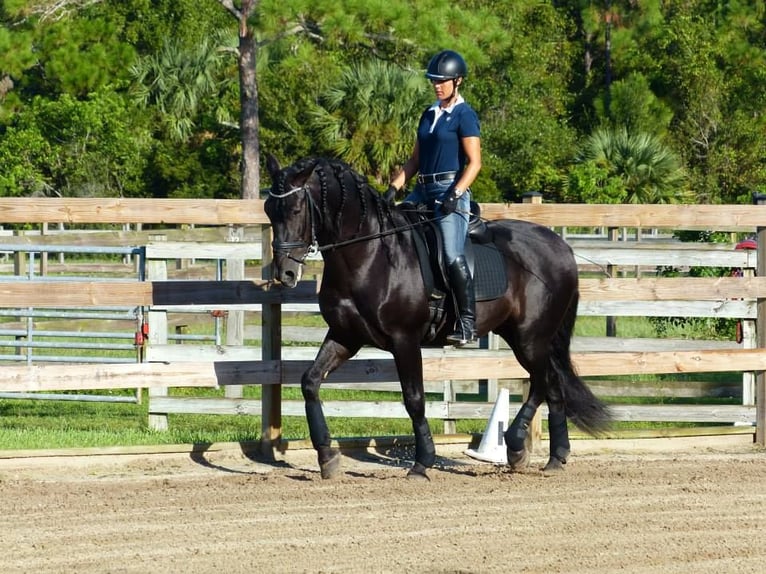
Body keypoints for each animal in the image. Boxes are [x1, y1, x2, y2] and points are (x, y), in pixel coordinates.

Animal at [264, 155, 611, 480]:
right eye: (269, 210)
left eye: (295, 209)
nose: (285, 273)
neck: (370, 254)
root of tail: (561, 246)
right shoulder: (344, 336)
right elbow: (310, 382)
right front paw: (327, 457)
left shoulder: (404, 340)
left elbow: (414, 399)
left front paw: (422, 462)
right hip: (521, 336)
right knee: (550, 384)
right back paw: (550, 456)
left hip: (531, 338)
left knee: (544, 381)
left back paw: (522, 447)